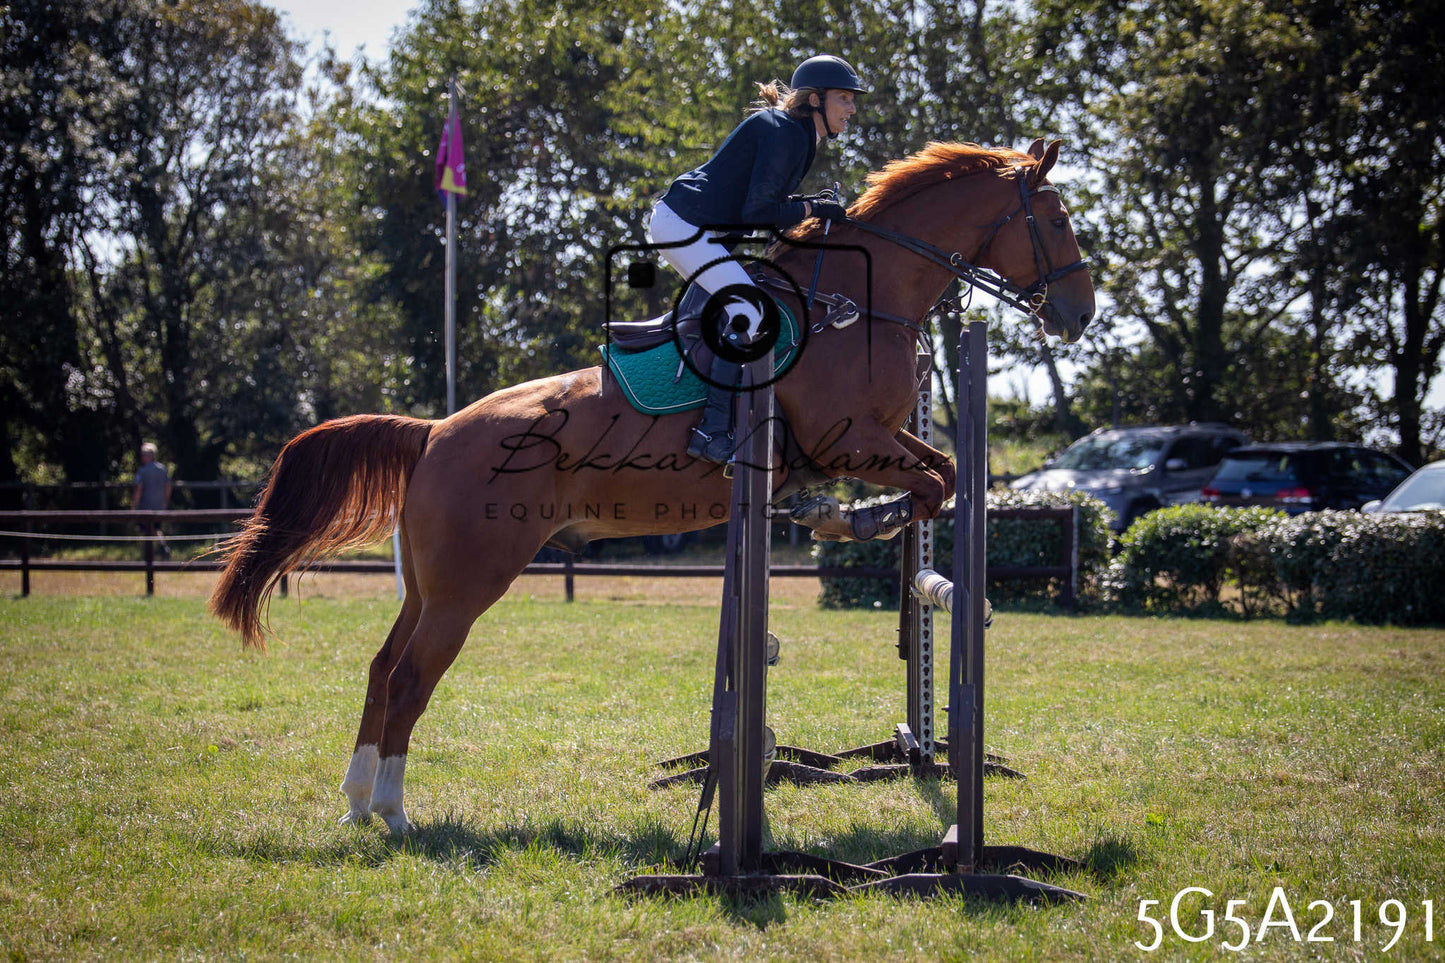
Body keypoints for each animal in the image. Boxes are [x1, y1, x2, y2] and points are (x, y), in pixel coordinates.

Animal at [209, 138, 1095, 833]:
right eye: (1054, 219)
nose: (1080, 315)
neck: (859, 304)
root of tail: (432, 432)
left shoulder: (871, 438)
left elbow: (942, 473)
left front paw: (844, 516)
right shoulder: (849, 439)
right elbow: (936, 481)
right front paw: (857, 519)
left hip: (430, 585)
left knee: (378, 667)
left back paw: (358, 801)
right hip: (468, 584)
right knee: (408, 679)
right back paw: (395, 811)